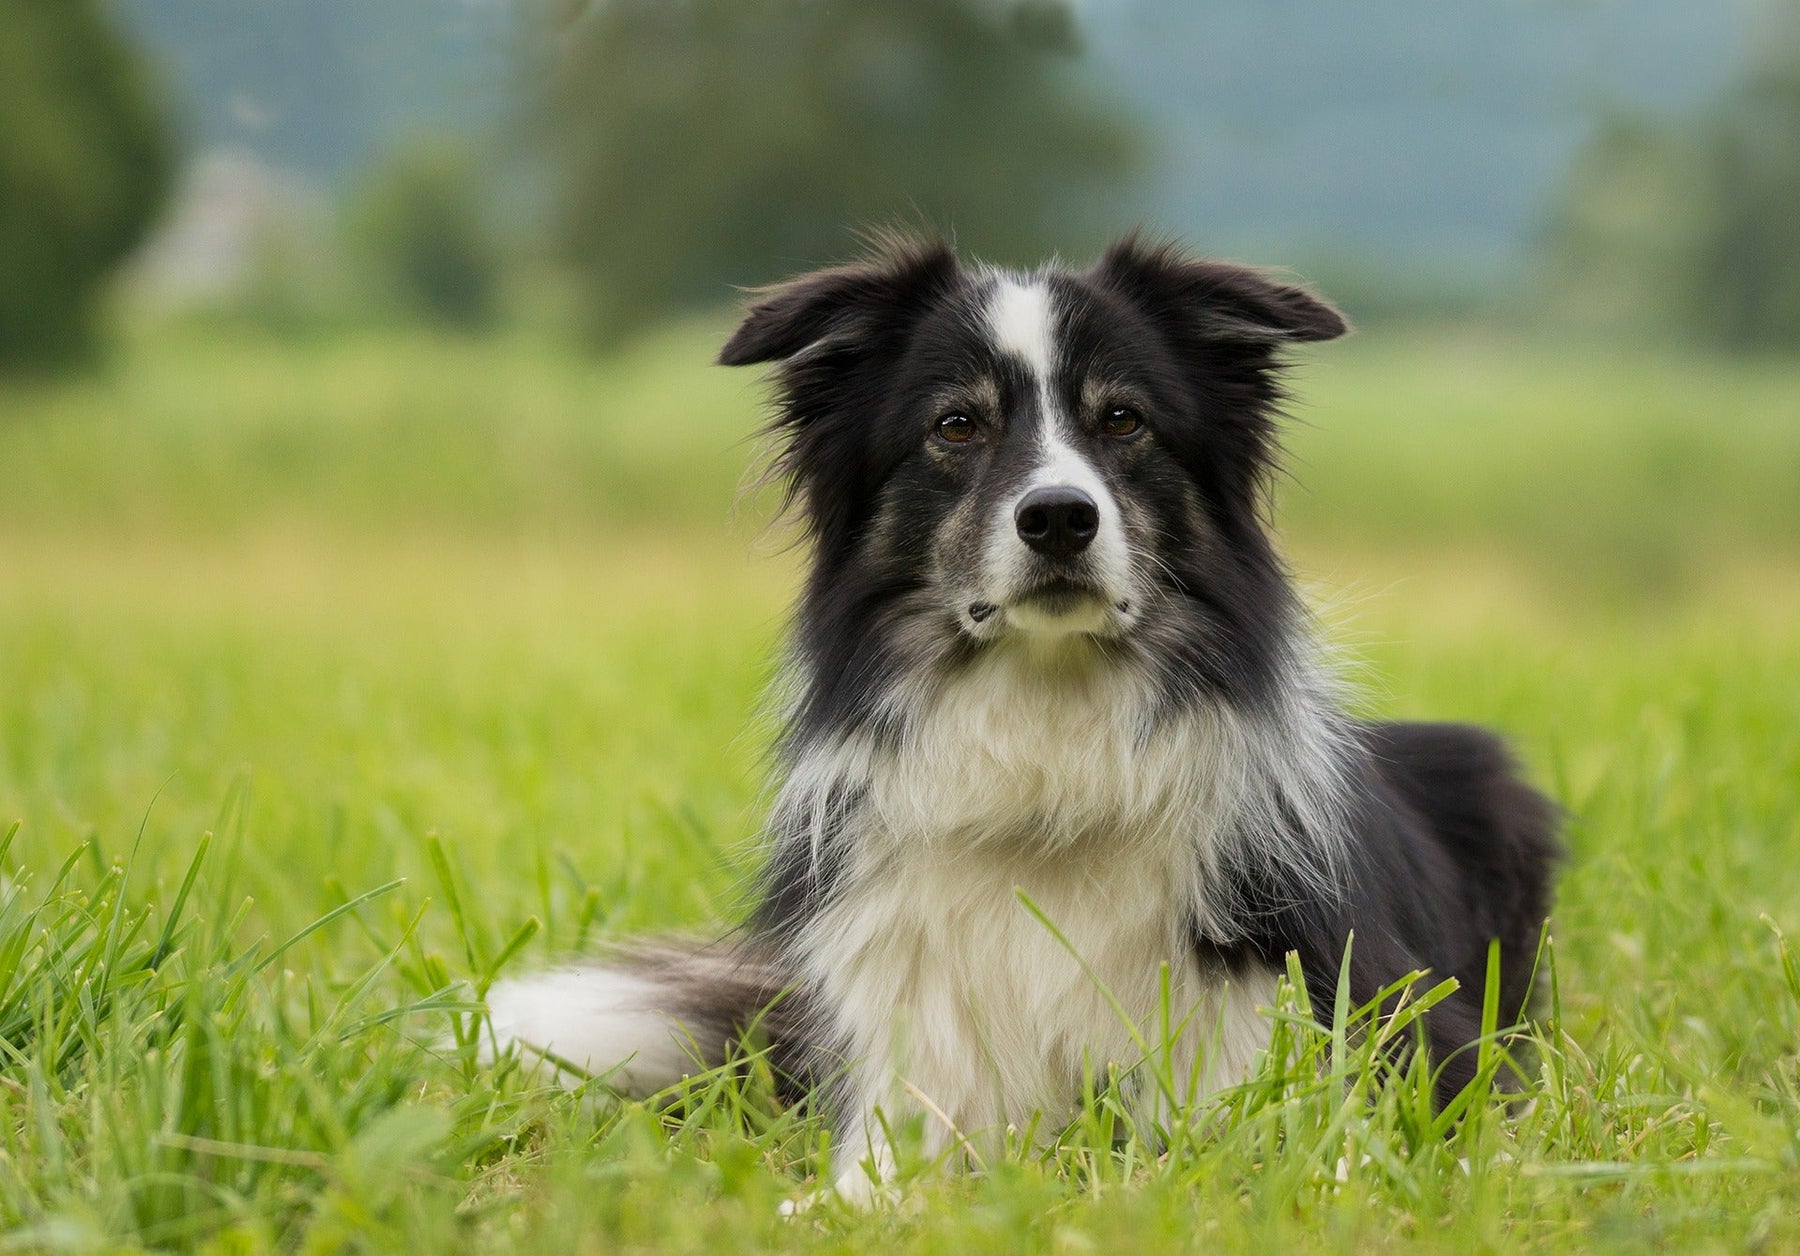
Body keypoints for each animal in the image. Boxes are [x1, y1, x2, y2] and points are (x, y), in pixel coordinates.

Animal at [493, 233, 1562, 1202]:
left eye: (1124, 419)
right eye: (956, 425)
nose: (1057, 518)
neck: (1050, 760)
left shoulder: (1335, 1042)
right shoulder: (915, 1075)